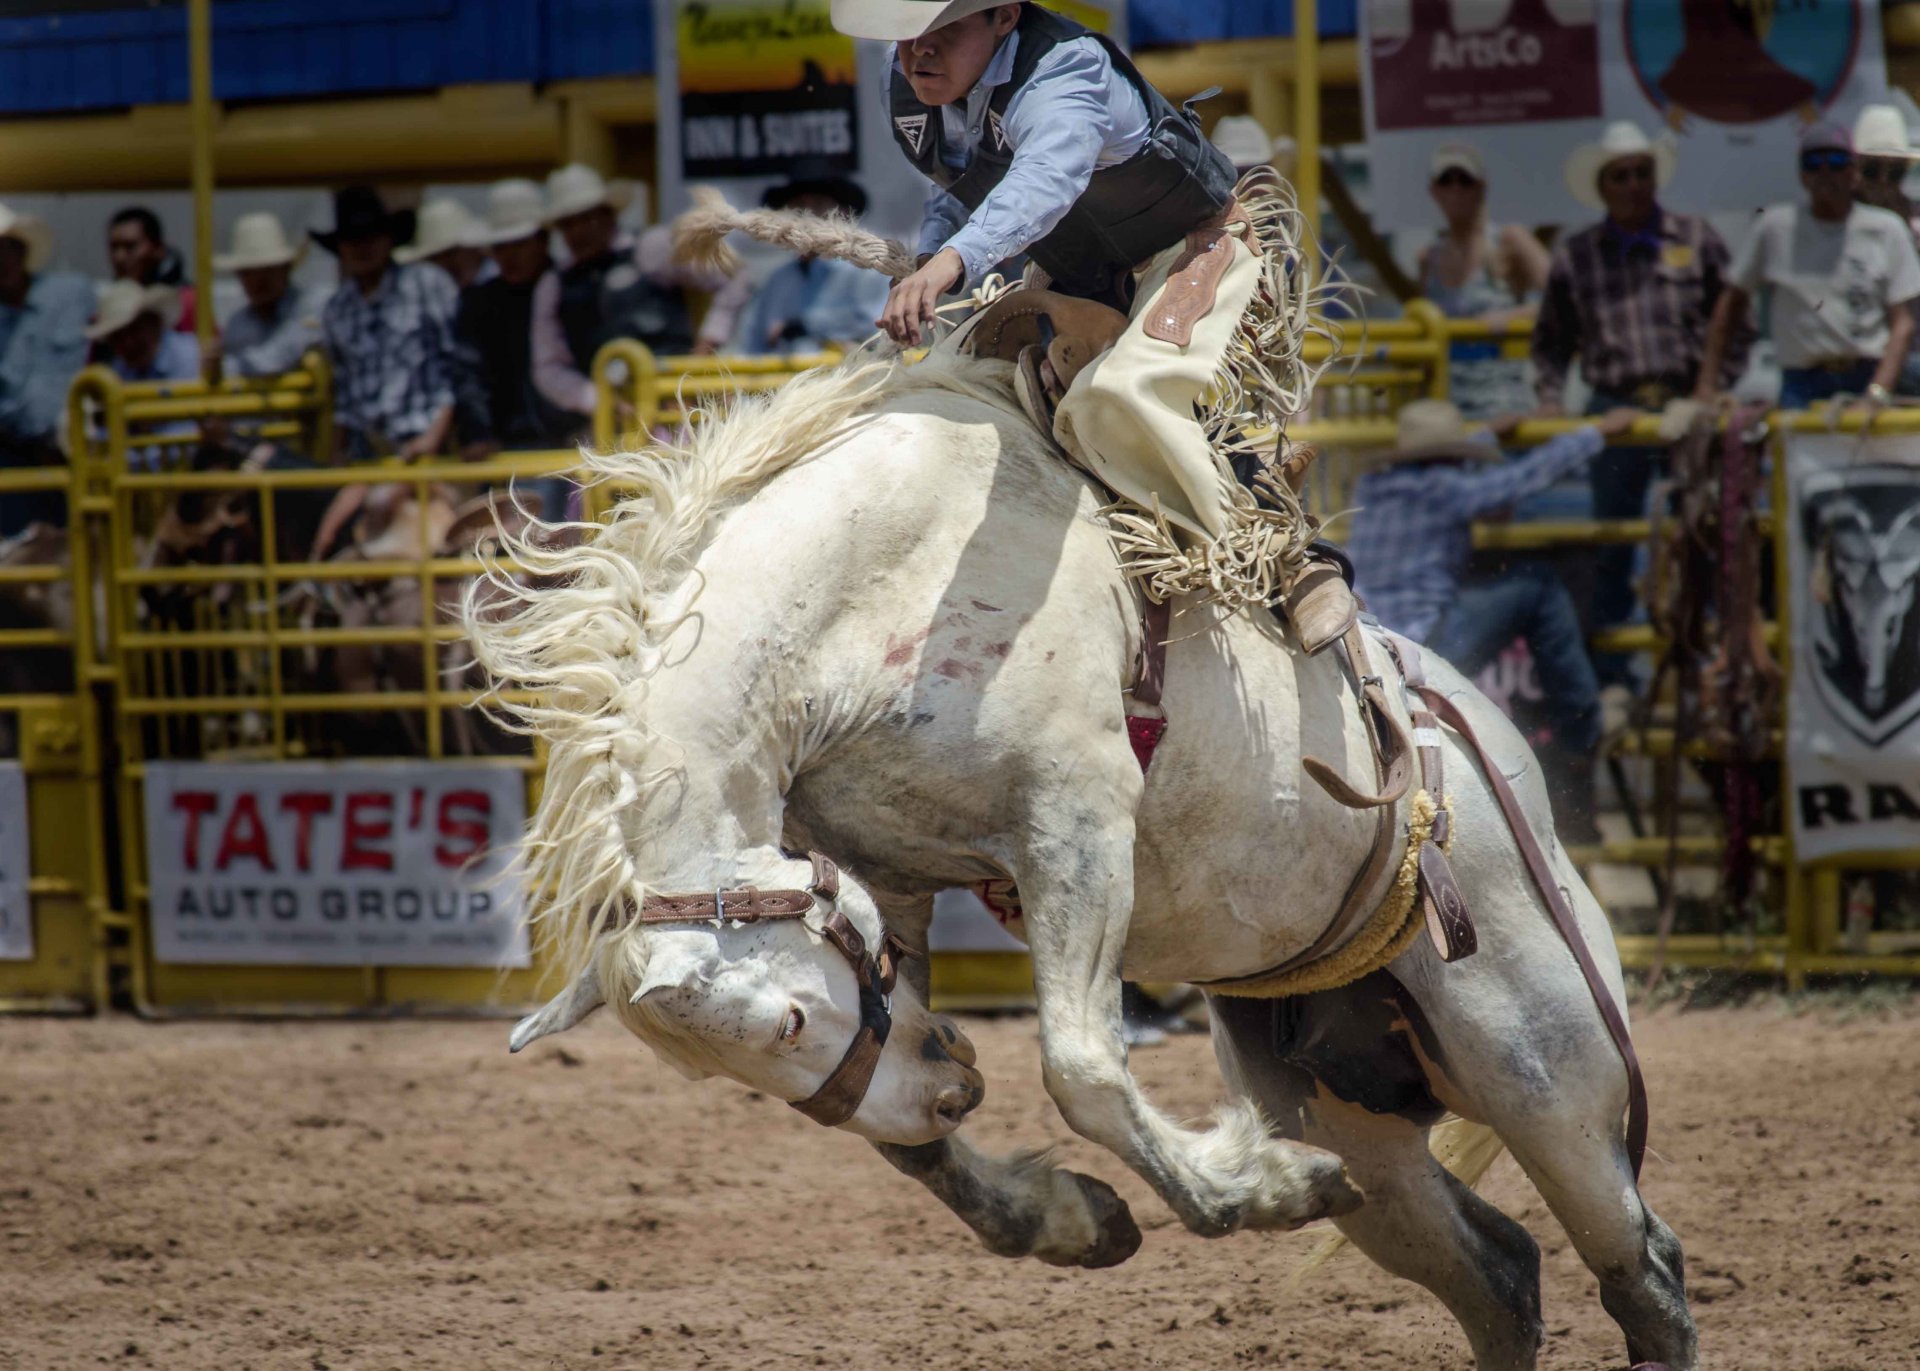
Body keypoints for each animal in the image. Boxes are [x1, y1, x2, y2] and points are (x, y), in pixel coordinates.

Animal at [468, 347, 1697, 1359]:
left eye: (783, 1023)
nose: (951, 1089)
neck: (878, 586)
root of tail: (1490, 751)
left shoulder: (1078, 826)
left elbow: (1084, 1069)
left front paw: (1257, 1192)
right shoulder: (887, 875)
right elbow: (909, 1136)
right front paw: (1073, 1219)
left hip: (1543, 1063)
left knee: (1640, 1270)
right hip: (1351, 1110)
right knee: (1499, 1275)